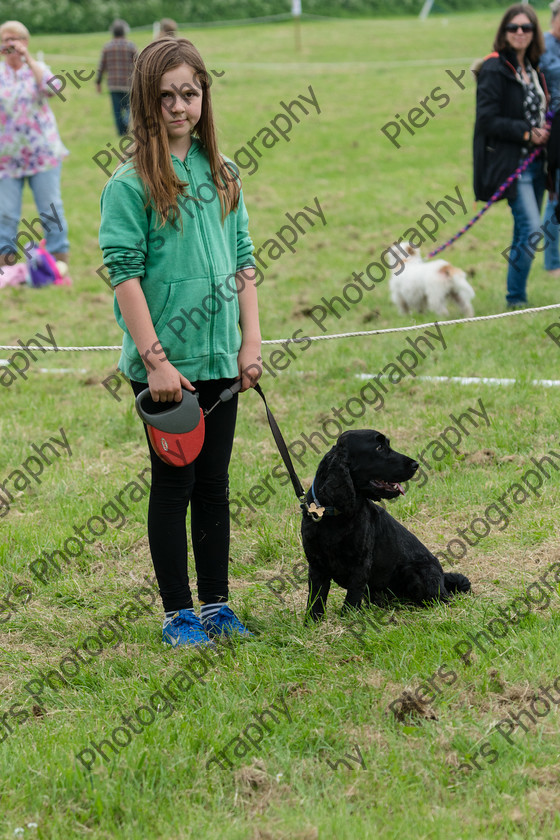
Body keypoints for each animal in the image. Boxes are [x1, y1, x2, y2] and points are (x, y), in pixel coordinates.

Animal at [300, 430, 470, 620]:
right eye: (379, 448)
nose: (416, 464)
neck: (335, 516)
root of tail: (442, 579)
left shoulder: (361, 563)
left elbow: (352, 596)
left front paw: (348, 619)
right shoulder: (316, 564)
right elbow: (316, 598)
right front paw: (312, 622)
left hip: (416, 573)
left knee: (441, 599)